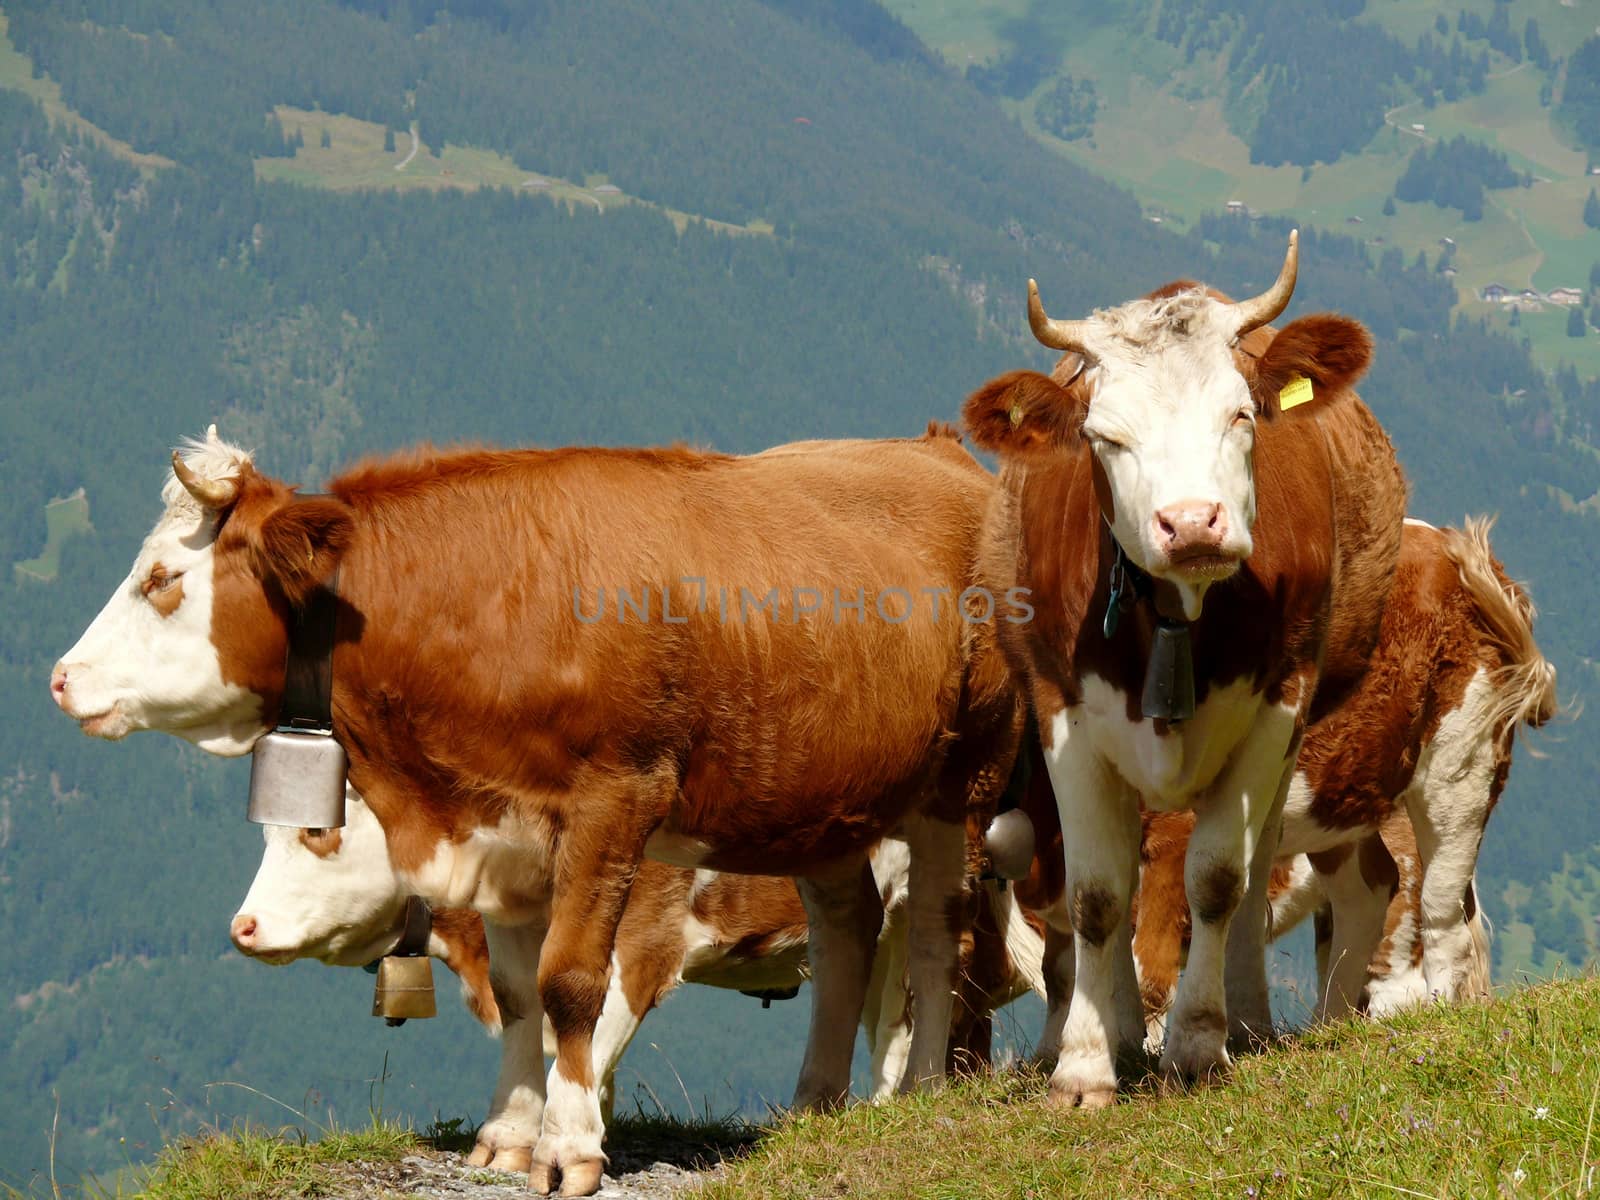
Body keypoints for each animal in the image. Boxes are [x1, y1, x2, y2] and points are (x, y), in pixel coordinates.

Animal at [56, 428, 1024, 1196]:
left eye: (161, 579)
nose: (62, 678)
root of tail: (939, 450)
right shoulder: (502, 829)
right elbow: (522, 992)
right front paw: (507, 1139)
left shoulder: (614, 803)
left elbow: (570, 984)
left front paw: (571, 1149)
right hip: (821, 796)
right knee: (846, 928)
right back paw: (815, 1103)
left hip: (964, 772)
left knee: (937, 930)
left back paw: (924, 1088)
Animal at [960, 235, 1401, 1107]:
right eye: (1104, 437)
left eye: (1241, 414)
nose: (1193, 523)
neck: (1175, 613)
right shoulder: (1062, 714)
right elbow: (1097, 895)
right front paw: (1087, 1061)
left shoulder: (1278, 702)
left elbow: (1220, 879)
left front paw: (1197, 1044)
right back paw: (1127, 1026)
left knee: (1256, 864)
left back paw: (1245, 1019)